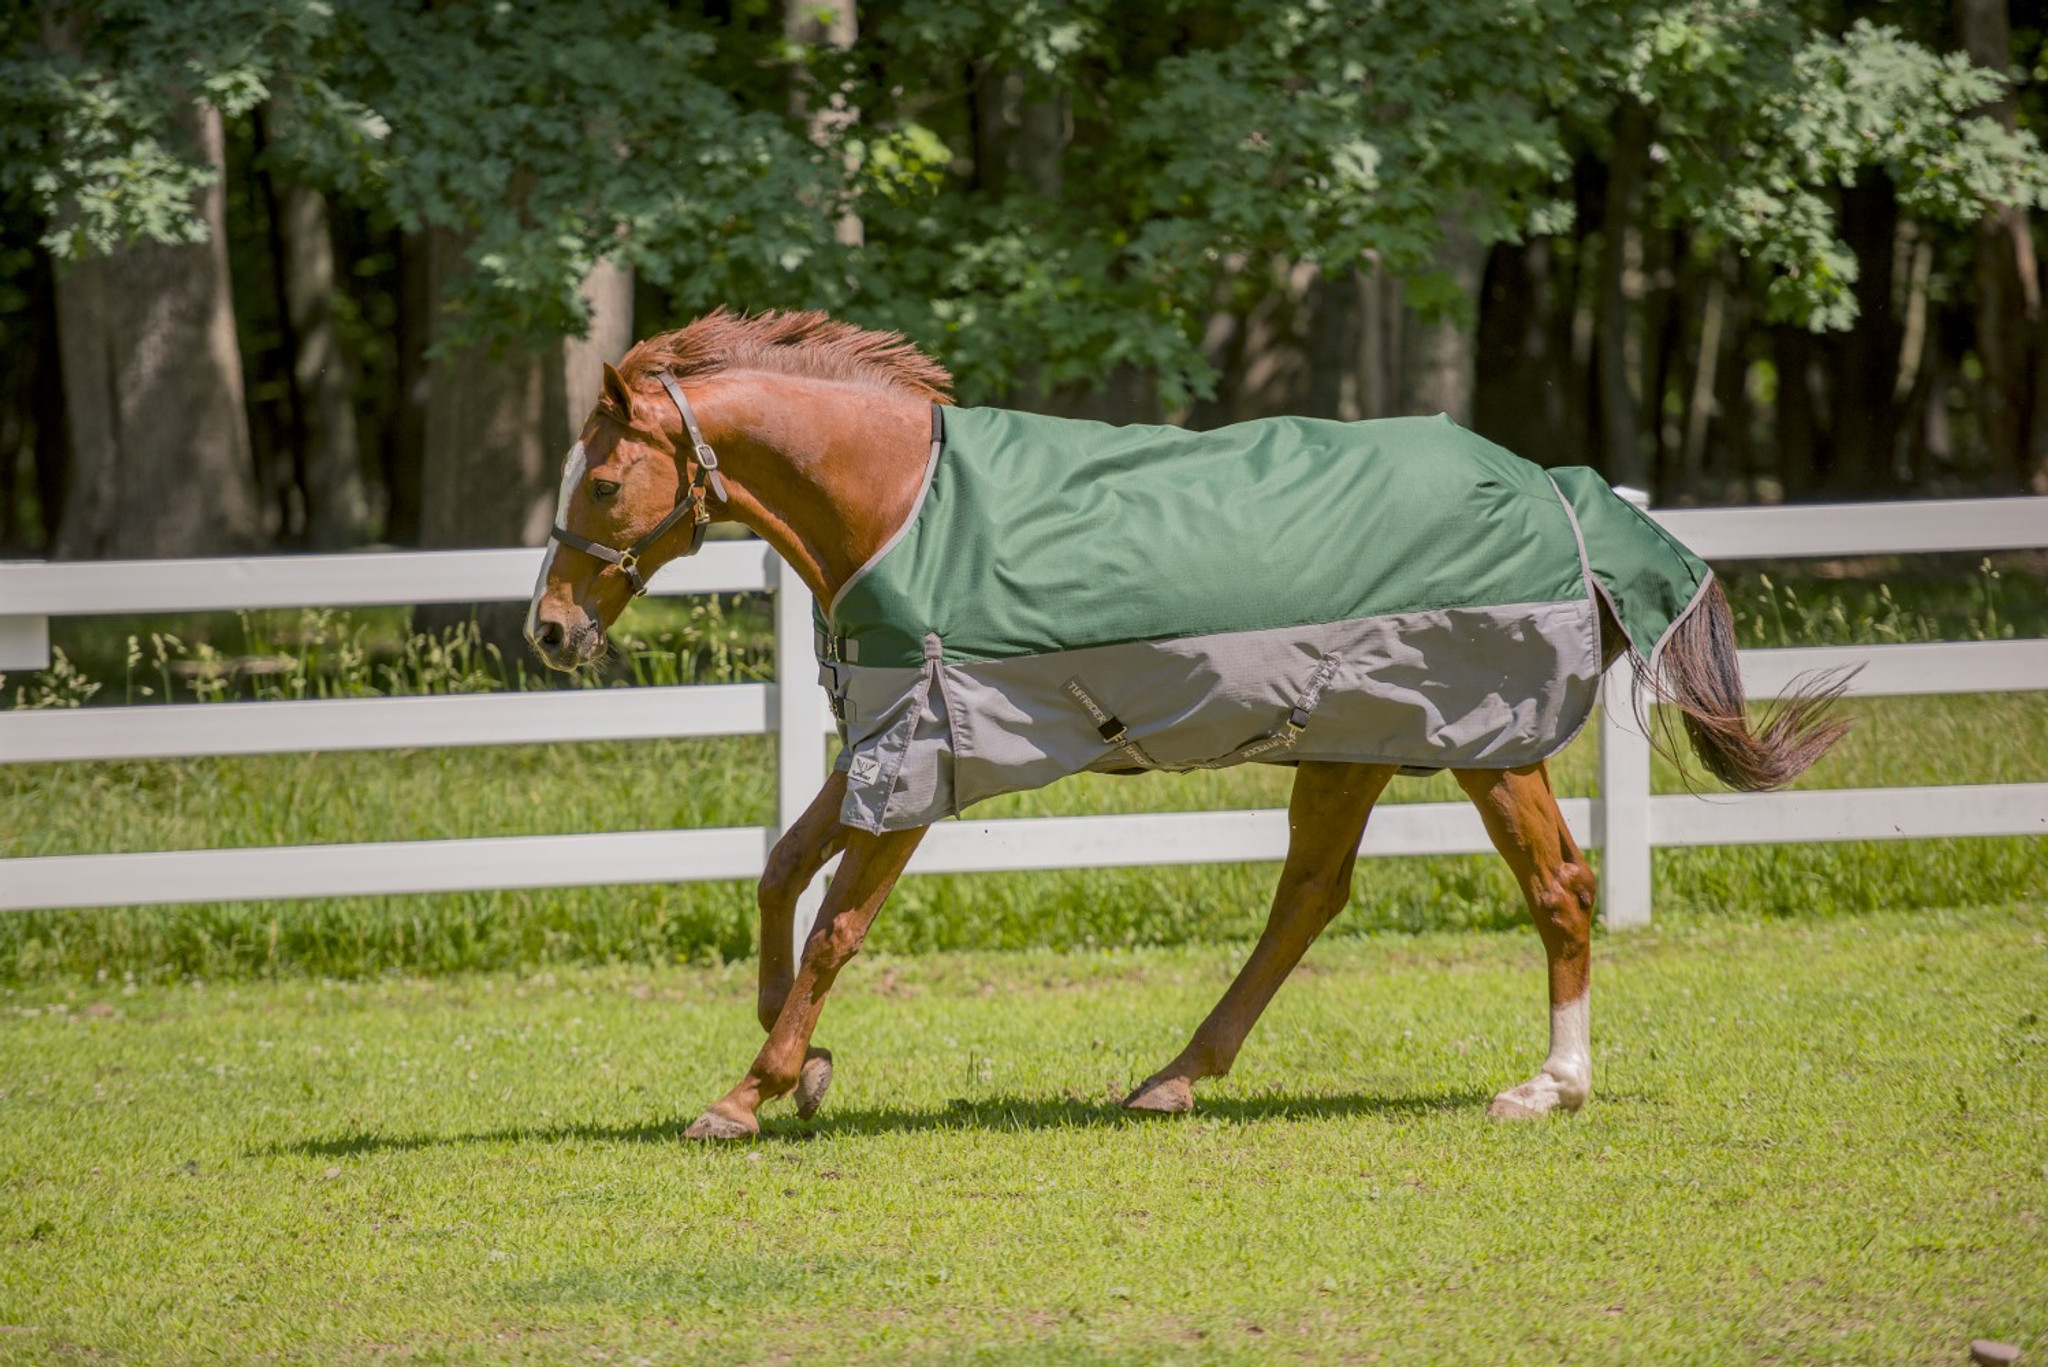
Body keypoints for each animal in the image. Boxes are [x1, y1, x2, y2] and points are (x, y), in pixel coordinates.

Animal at [526, 309, 1846, 1141]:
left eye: (603, 478)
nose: (547, 629)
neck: (897, 504)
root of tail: (1561, 490)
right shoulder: (876, 740)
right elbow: (779, 868)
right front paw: (802, 1067)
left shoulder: (922, 754)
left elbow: (836, 925)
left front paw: (746, 1092)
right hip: (1352, 742)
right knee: (1306, 897)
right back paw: (1172, 1079)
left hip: (1487, 737)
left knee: (1558, 886)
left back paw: (1548, 1086)